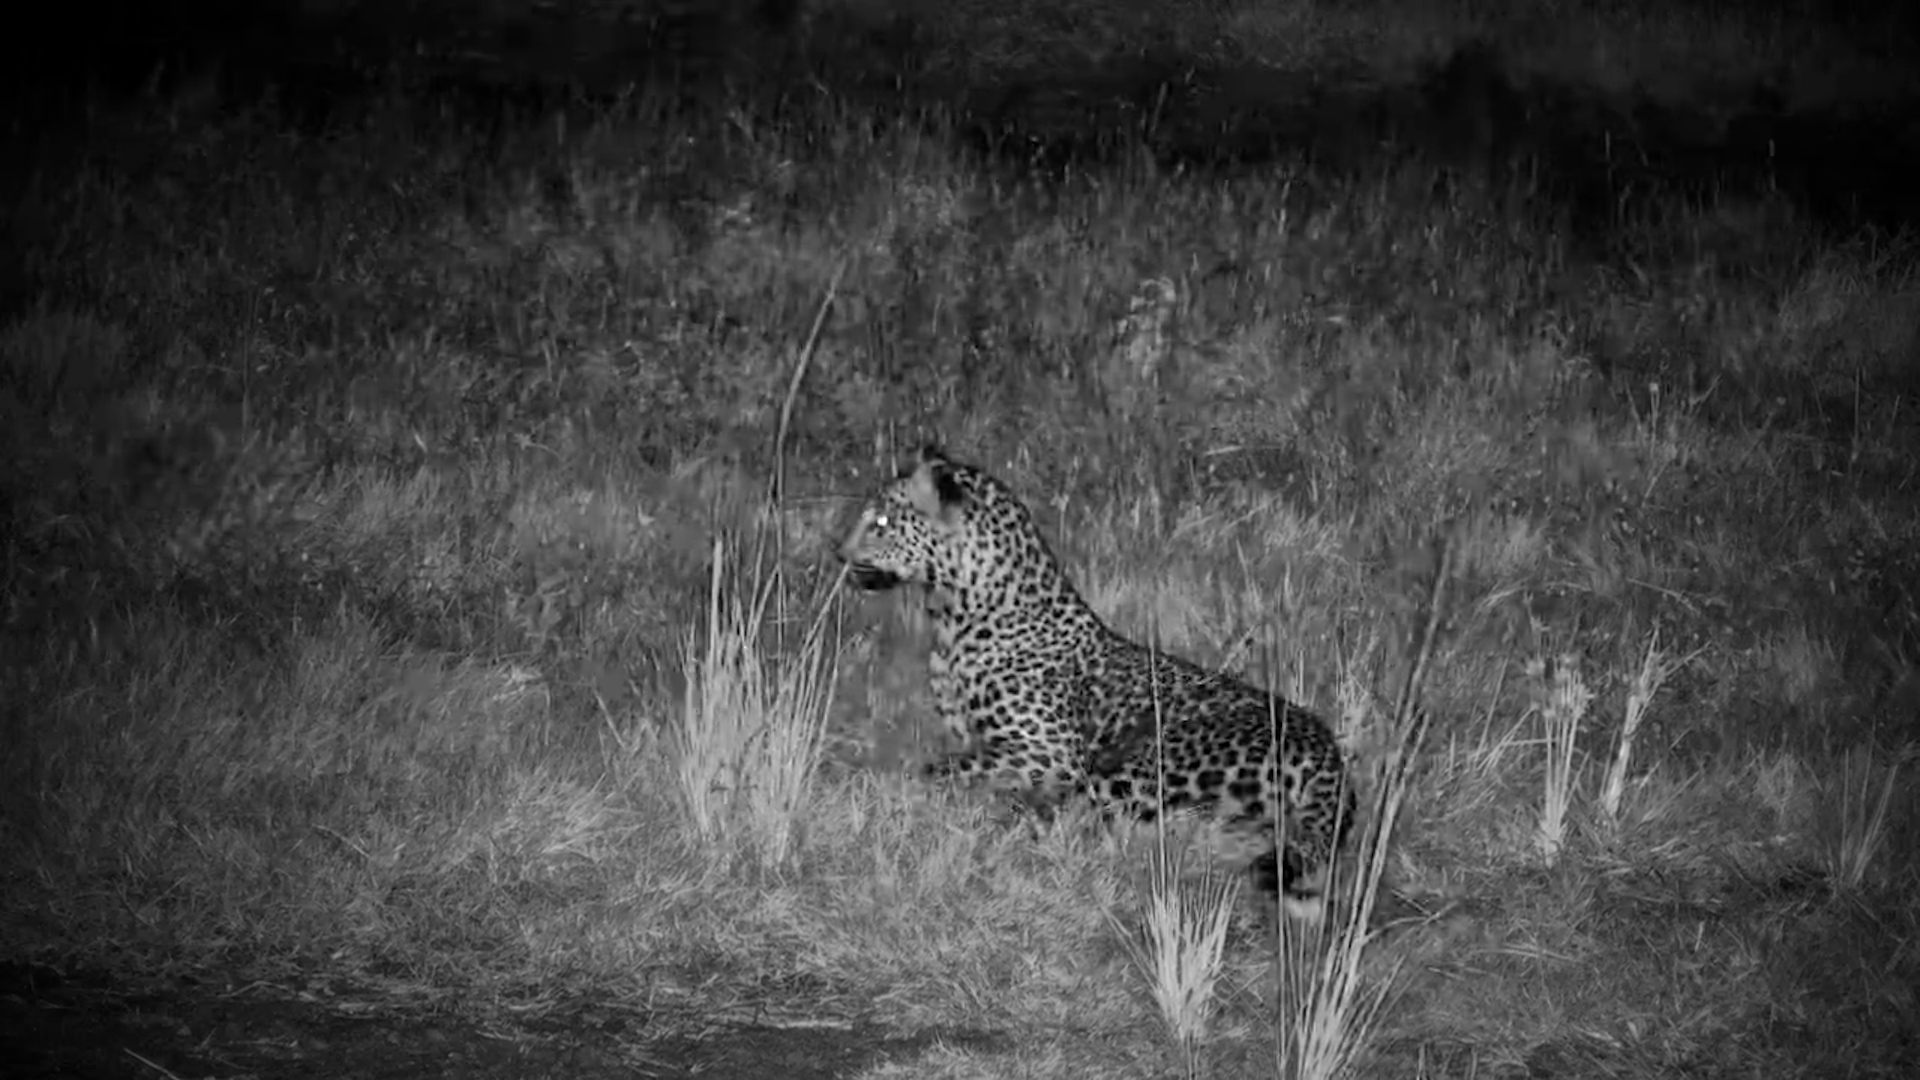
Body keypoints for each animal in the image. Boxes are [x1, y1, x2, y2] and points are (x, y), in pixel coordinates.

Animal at [838, 446, 1356, 919]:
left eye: (881, 521)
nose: (838, 553)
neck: (952, 618)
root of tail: (1330, 752)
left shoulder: (1049, 751)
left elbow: (938, 767)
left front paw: (888, 779)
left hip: (1143, 763)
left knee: (1095, 819)